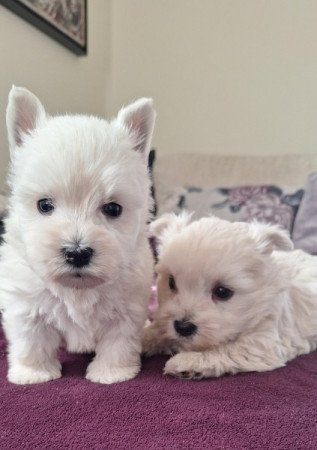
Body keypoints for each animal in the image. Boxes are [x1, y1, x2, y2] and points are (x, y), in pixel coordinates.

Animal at [0, 86, 156, 384]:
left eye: (113, 208)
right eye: (44, 205)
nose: (77, 253)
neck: (78, 290)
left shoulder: (127, 308)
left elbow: (118, 342)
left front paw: (111, 373)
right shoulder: (27, 305)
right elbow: (31, 341)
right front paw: (33, 373)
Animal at [143, 213, 316, 378]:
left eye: (222, 292)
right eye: (171, 283)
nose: (182, 327)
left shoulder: (263, 341)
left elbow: (226, 350)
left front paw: (187, 360)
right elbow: (157, 330)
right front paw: (142, 339)